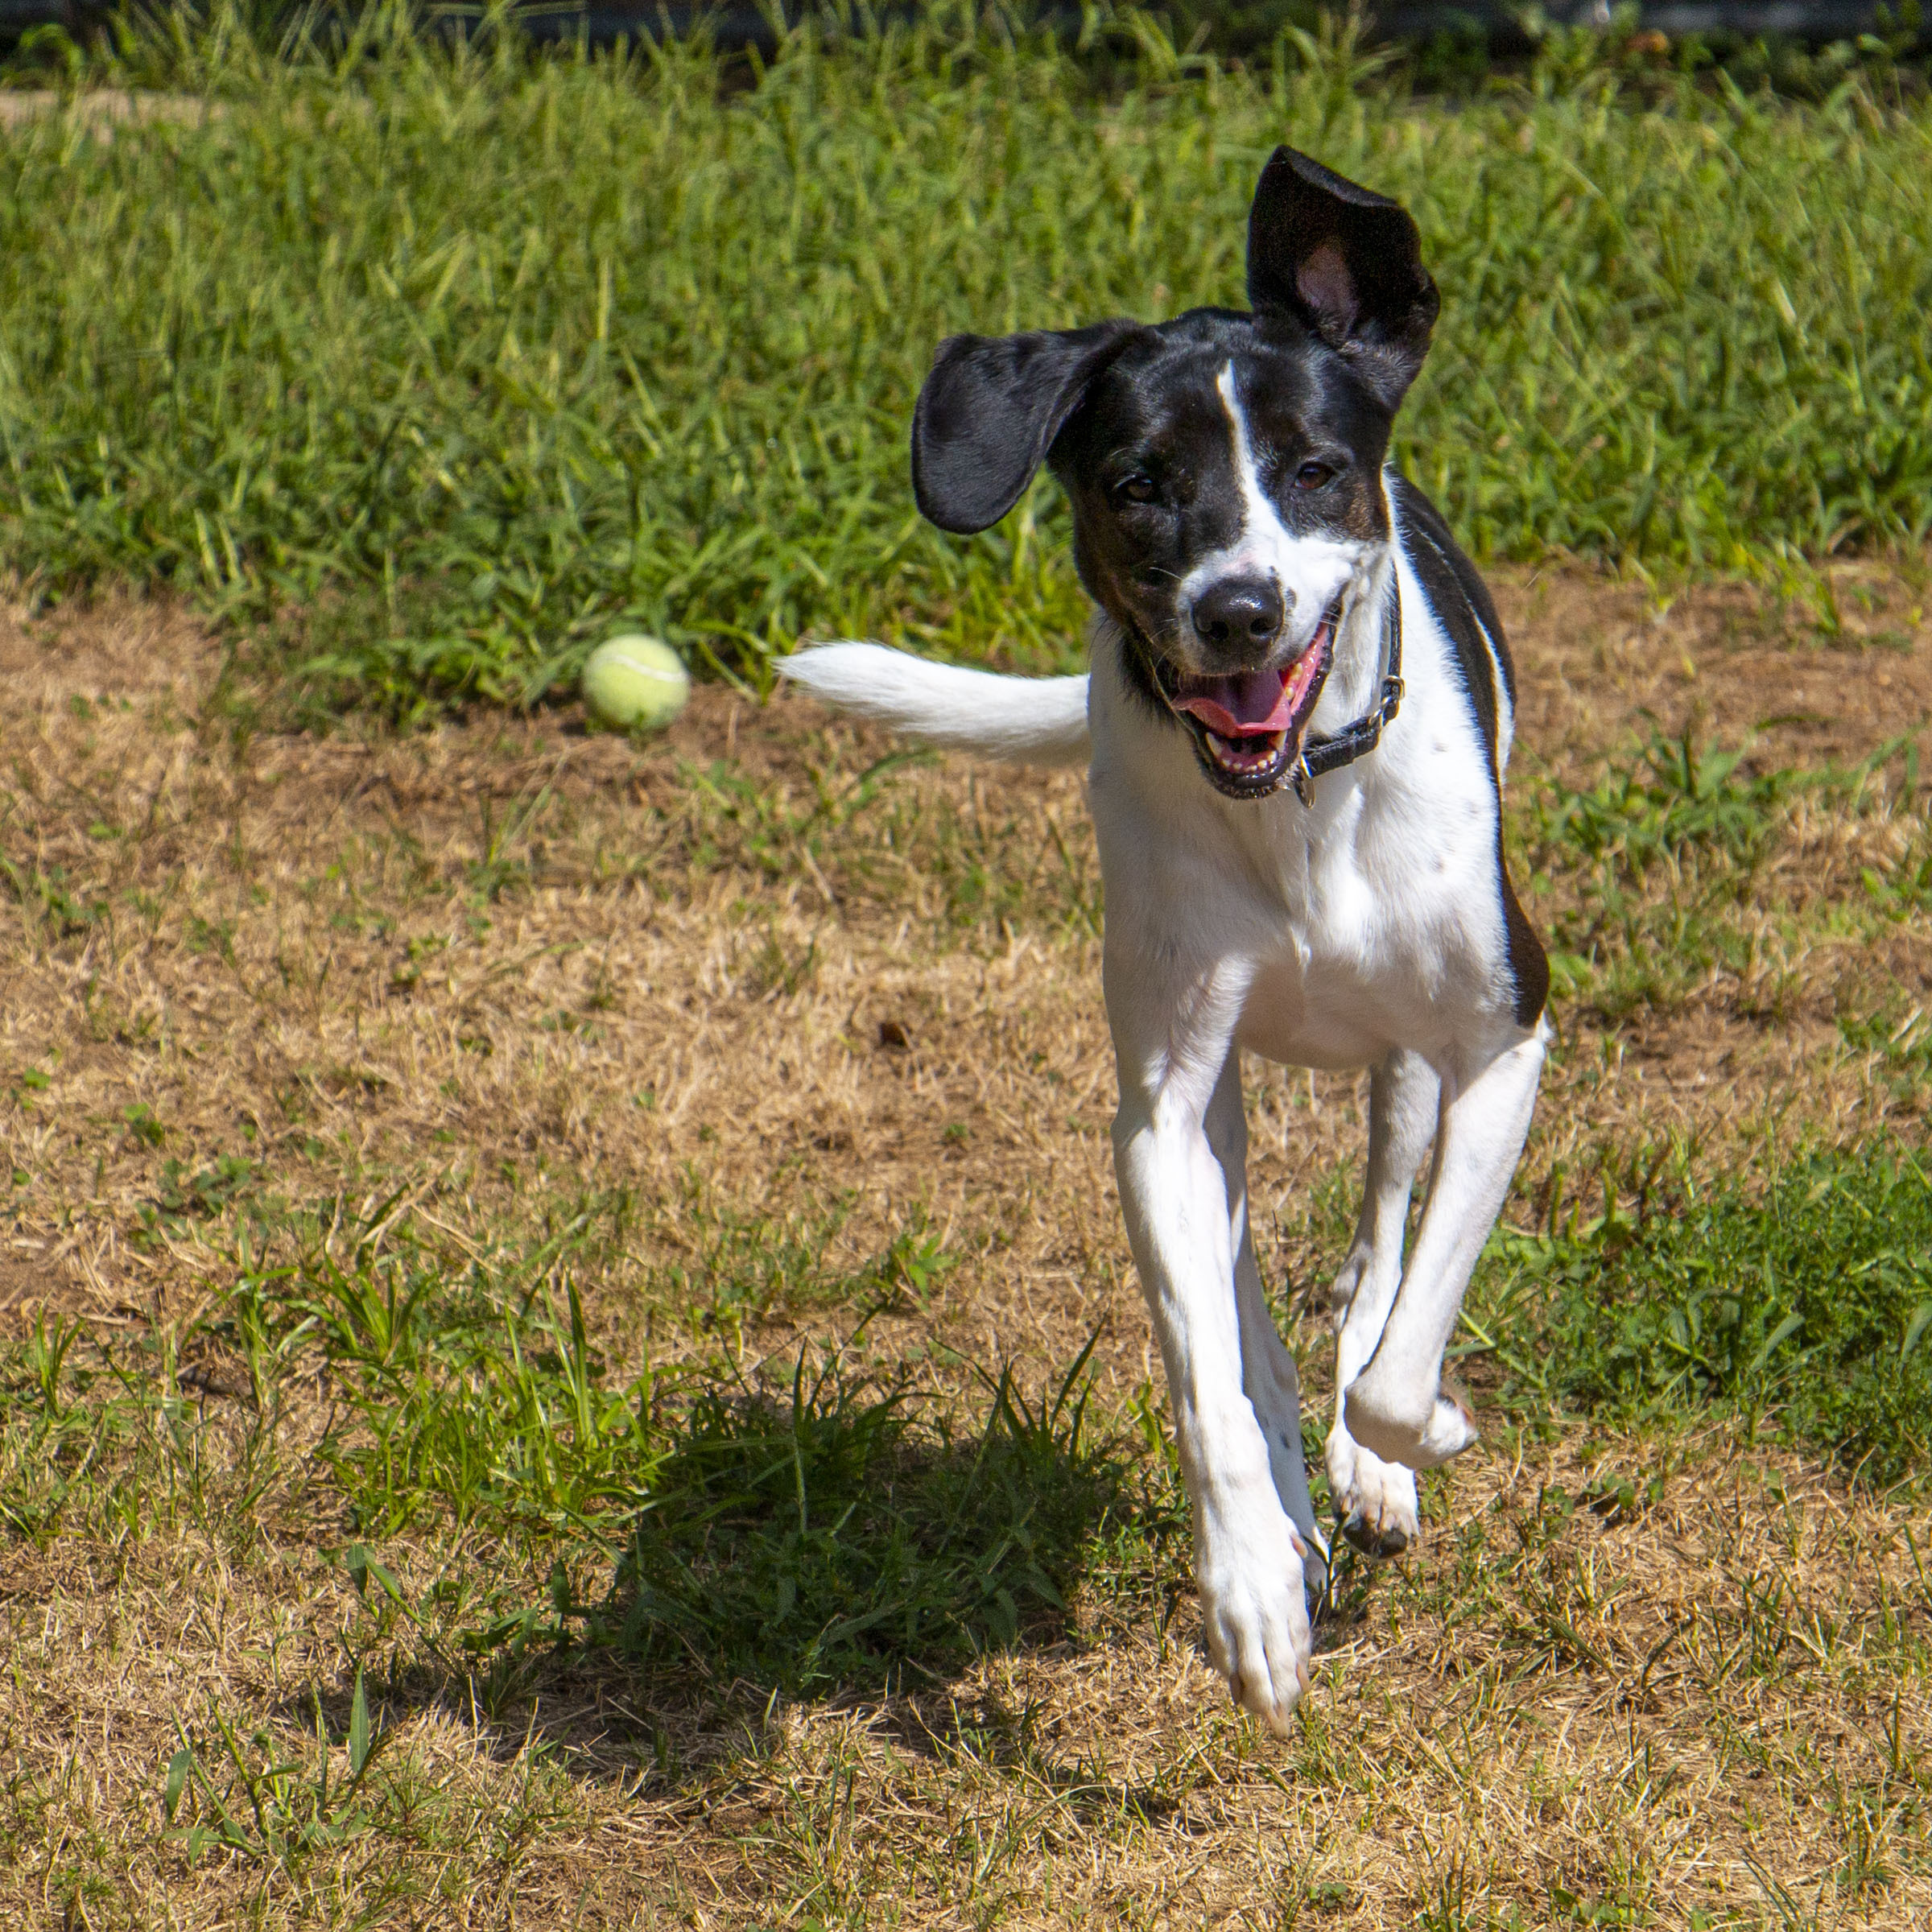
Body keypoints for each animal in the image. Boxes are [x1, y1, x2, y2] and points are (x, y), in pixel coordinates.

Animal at [776, 142, 1546, 1731]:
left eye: (1313, 471)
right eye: (1138, 486)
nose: (1238, 608)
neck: (1297, 805)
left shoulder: (1510, 1042)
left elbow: (1401, 1344)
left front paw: (1417, 1431)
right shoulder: (1161, 1112)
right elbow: (1209, 1367)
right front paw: (1252, 1576)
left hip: (1409, 1072)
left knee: (1380, 1233)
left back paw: (1365, 1465)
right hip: (1218, 1101)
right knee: (1250, 1315)